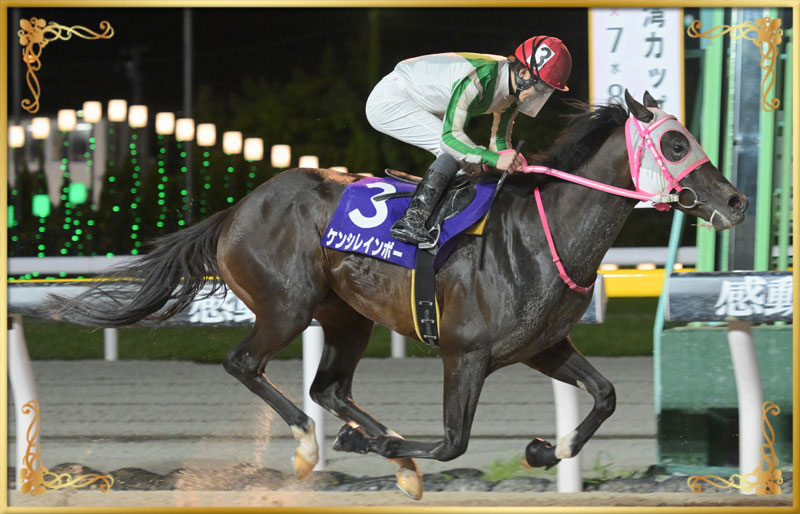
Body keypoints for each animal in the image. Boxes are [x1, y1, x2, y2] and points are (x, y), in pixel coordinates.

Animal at [51, 90, 748, 500]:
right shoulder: (464, 355)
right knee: (246, 364)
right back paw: (314, 446)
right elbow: (453, 442)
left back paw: (376, 448)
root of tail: (236, 210)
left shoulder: (541, 346)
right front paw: (381, 447)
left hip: (346, 317)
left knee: (329, 387)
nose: (737, 201)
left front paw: (546, 449)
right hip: (286, 306)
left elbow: (604, 396)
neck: (538, 233)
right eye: (676, 142)